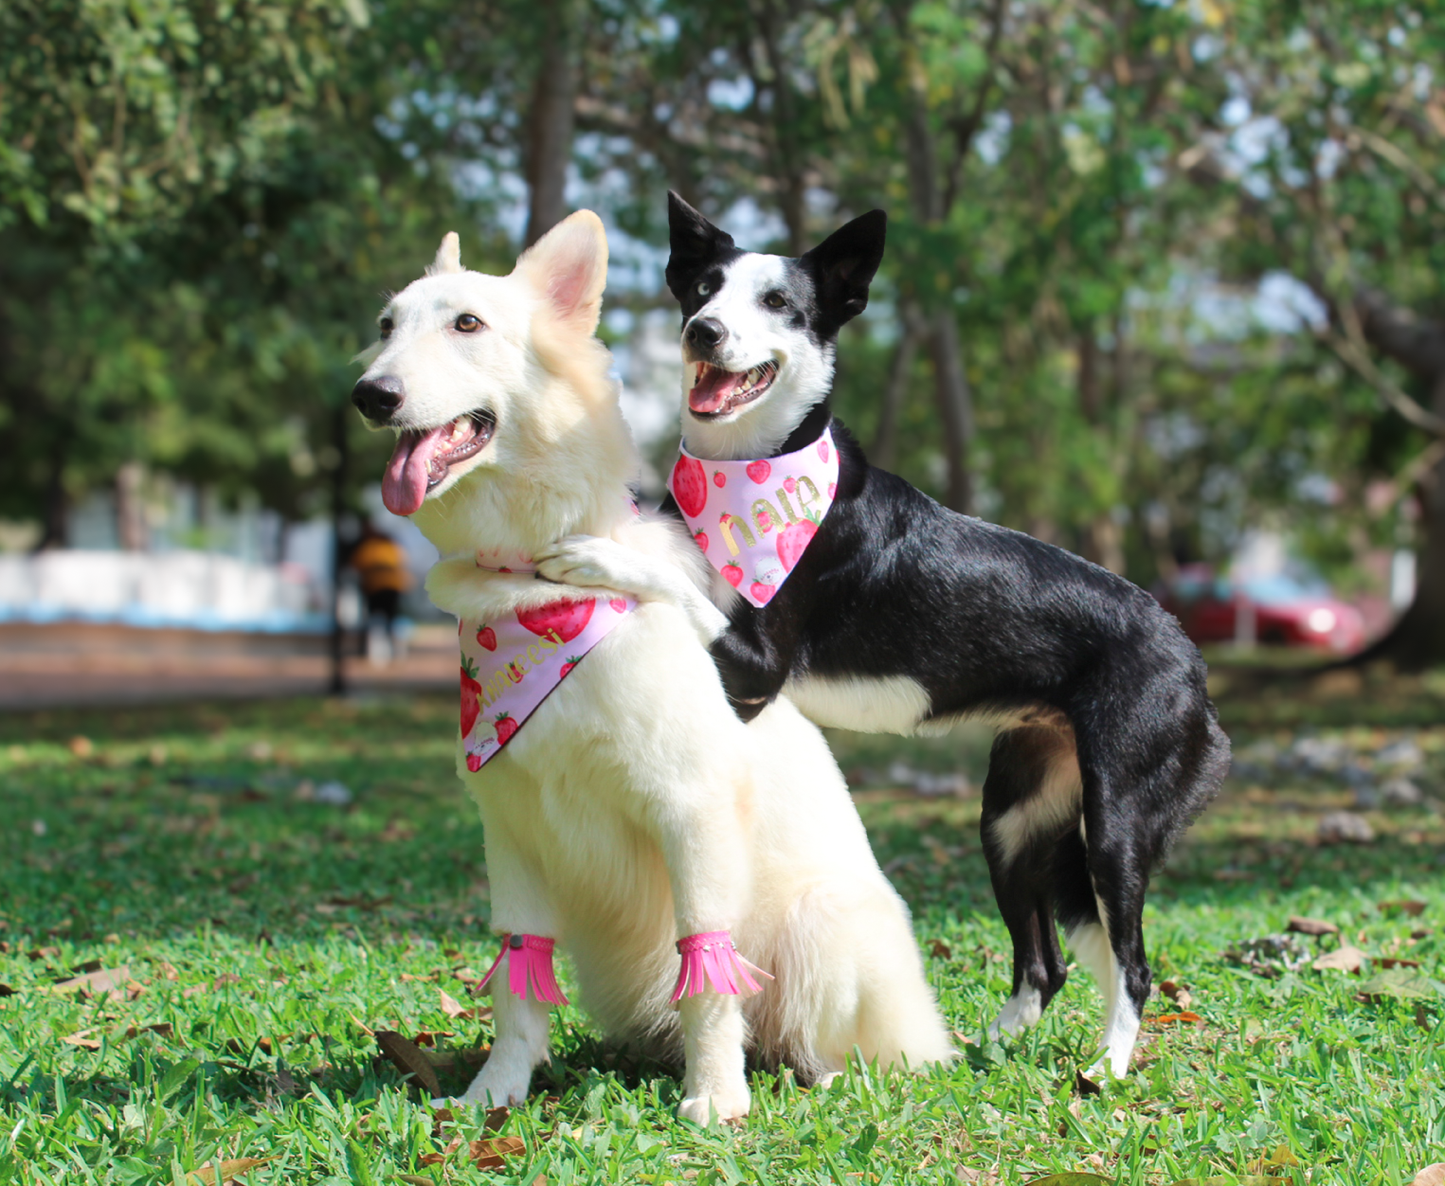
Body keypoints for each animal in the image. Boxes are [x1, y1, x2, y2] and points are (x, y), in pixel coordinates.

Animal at [351, 210, 953, 1120]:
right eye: (387, 327)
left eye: (467, 325)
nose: (369, 394)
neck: (536, 592)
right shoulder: (510, 831)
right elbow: (518, 976)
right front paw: (496, 1092)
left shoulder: (691, 812)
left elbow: (705, 966)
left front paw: (714, 1100)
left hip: (821, 927)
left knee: (831, 1044)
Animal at [537, 195, 1236, 1074]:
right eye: (701, 288)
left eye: (778, 303)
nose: (702, 331)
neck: (743, 472)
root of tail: (1189, 658)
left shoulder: (756, 666)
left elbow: (674, 586)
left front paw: (595, 555)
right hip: (1013, 825)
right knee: (1049, 964)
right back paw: (976, 1055)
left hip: (1114, 823)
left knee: (1133, 964)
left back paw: (1105, 1067)